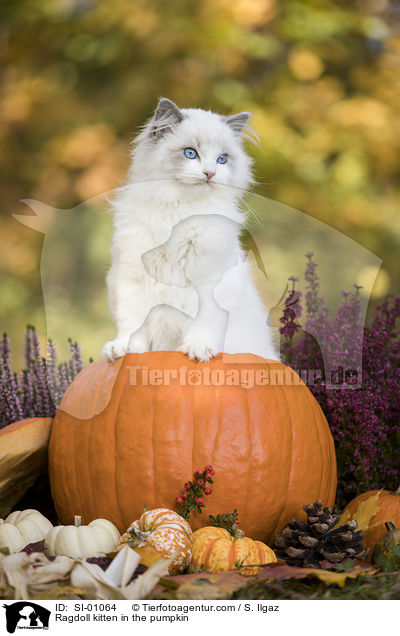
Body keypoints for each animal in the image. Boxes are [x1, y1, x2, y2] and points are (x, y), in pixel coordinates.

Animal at [101, 95, 280, 362]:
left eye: (222, 159)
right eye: (190, 153)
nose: (210, 173)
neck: (180, 210)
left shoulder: (208, 282)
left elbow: (203, 322)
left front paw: (198, 349)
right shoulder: (130, 277)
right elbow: (131, 323)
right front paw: (124, 349)